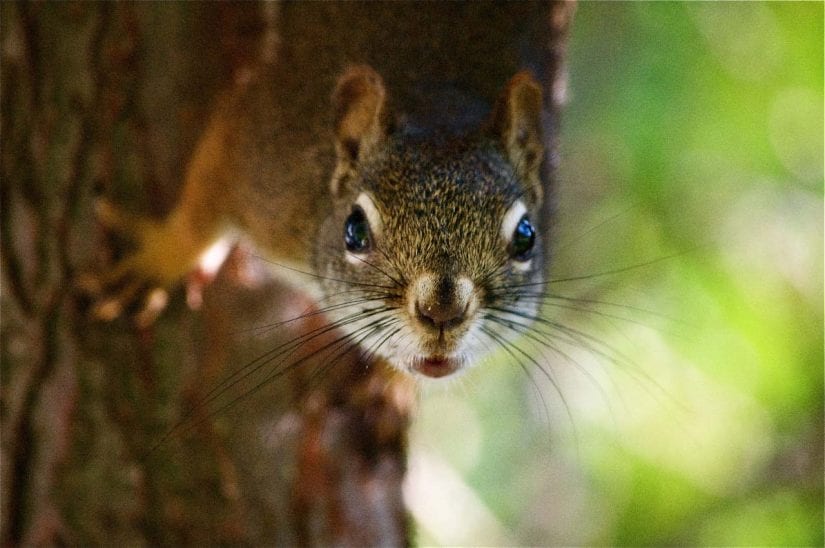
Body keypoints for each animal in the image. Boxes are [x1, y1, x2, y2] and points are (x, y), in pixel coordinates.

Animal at [93, 2, 564, 378]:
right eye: (354, 230)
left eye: (526, 237)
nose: (442, 313)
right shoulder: (258, 152)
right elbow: (204, 203)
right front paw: (159, 261)